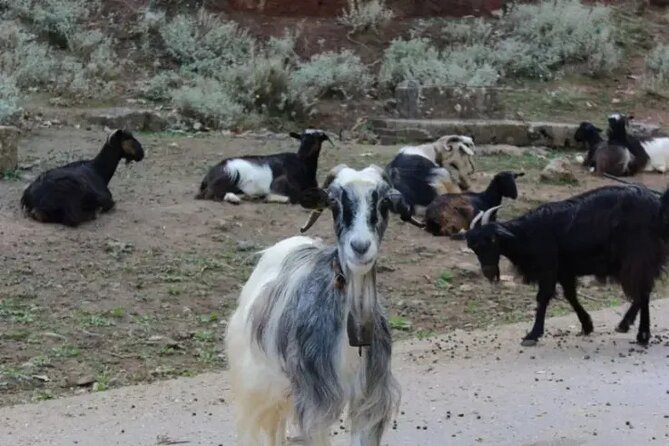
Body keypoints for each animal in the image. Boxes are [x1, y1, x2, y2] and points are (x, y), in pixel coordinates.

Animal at [196, 128, 333, 204]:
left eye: (319, 138)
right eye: (302, 138)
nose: (305, 151)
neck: (302, 164)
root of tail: (209, 175)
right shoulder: (280, 185)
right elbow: (293, 197)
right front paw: (270, 198)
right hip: (228, 176)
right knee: (208, 195)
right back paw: (236, 199)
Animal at [226, 164, 422, 445]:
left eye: (384, 202)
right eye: (333, 202)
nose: (360, 247)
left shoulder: (369, 399)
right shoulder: (315, 402)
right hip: (260, 377)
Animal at [465, 185, 669, 347]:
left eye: (492, 240)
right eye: (473, 247)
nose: (489, 273)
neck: (527, 233)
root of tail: (658, 207)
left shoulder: (549, 267)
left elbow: (543, 297)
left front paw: (532, 335)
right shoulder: (564, 270)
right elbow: (571, 296)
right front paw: (587, 325)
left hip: (638, 256)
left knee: (642, 291)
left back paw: (642, 335)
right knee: (643, 291)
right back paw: (624, 325)